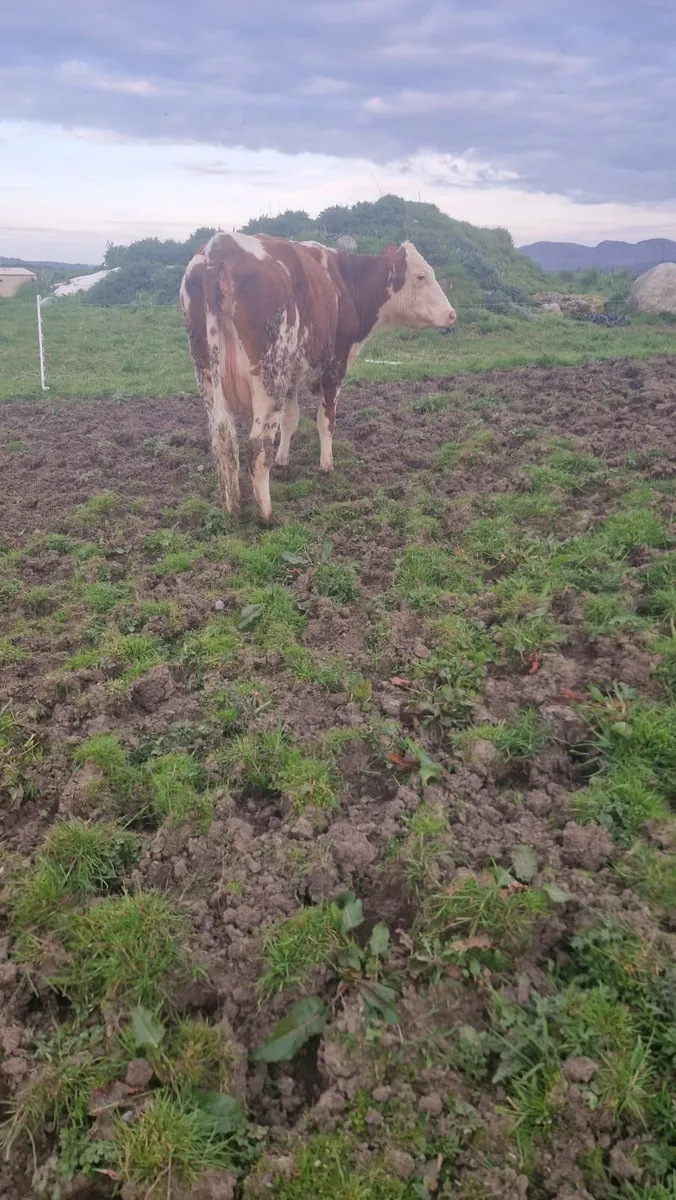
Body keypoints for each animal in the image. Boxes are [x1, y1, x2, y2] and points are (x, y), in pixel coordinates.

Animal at [180, 233, 456, 523]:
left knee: (223, 439)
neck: (345, 280)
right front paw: (326, 465)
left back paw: (232, 507)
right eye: (421, 276)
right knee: (258, 445)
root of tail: (221, 246)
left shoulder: (291, 376)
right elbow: (325, 420)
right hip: (269, 375)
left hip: (208, 374)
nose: (451, 314)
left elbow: (290, 420)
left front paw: (283, 461)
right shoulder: (334, 367)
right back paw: (266, 513)